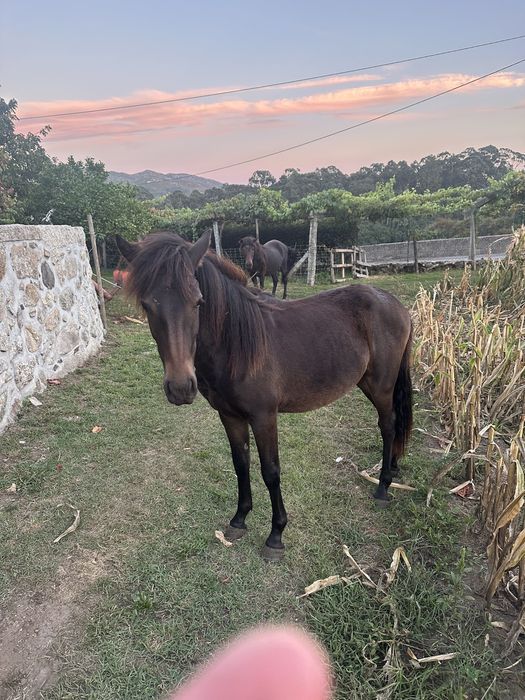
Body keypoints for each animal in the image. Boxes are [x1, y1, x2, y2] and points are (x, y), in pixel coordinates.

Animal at [115, 231, 413, 561]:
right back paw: (393, 468)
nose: (180, 387)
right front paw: (239, 519)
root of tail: (395, 304)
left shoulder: (264, 417)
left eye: (198, 302)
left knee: (388, 425)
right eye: (147, 305)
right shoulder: (229, 415)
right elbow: (240, 463)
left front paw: (276, 535)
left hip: (381, 385)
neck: (237, 347)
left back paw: (383, 486)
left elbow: (270, 471)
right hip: (368, 384)